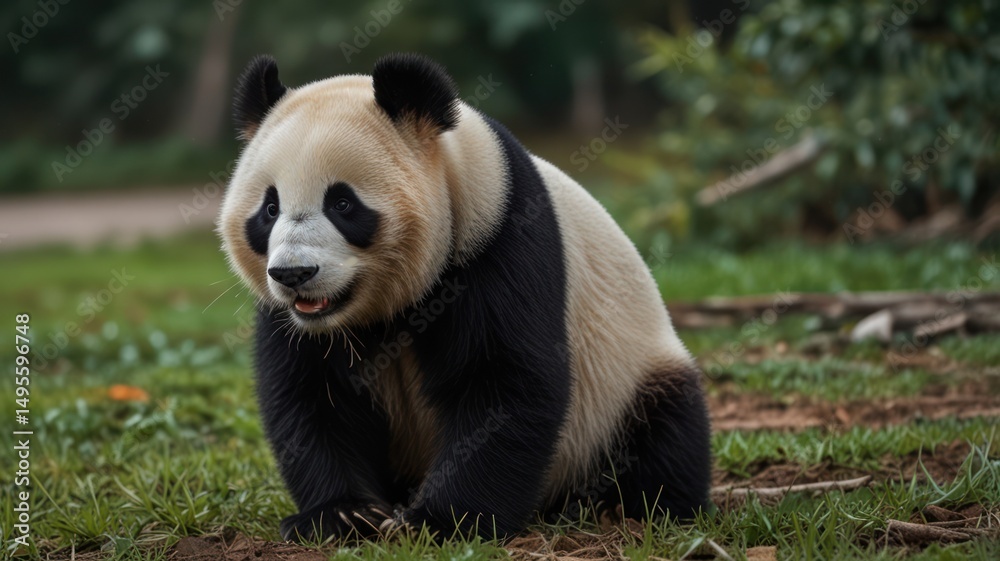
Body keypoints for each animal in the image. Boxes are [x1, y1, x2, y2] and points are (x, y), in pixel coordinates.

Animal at [219, 53, 711, 542]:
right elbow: (312, 394)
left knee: (665, 429)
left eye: (342, 204)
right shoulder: (294, 321)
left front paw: (442, 521)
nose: (294, 274)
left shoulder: (496, 237)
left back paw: (624, 504)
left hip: (627, 375)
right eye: (270, 209)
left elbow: (502, 382)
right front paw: (341, 514)